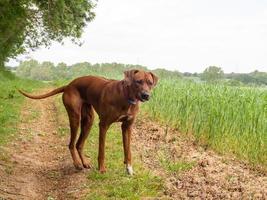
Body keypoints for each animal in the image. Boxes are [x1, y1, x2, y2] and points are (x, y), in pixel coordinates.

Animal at [19, 69, 159, 174]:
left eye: (150, 82)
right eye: (138, 81)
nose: (146, 95)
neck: (126, 97)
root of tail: (69, 85)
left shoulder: (127, 127)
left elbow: (128, 150)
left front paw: (129, 169)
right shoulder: (103, 125)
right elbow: (101, 150)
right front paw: (102, 169)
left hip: (88, 121)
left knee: (79, 144)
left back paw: (84, 162)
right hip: (75, 118)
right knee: (71, 144)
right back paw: (77, 164)